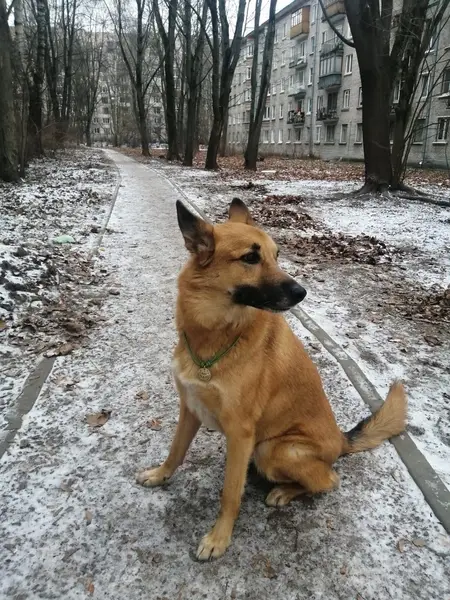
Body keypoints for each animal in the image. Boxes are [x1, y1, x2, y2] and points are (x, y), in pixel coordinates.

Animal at [137, 198, 407, 560]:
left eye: (276, 255)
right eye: (251, 258)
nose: (302, 292)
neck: (217, 335)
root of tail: (340, 439)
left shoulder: (241, 432)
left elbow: (230, 493)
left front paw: (219, 538)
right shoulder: (189, 409)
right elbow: (175, 452)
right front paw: (160, 476)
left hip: (271, 449)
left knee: (329, 480)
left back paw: (284, 491)